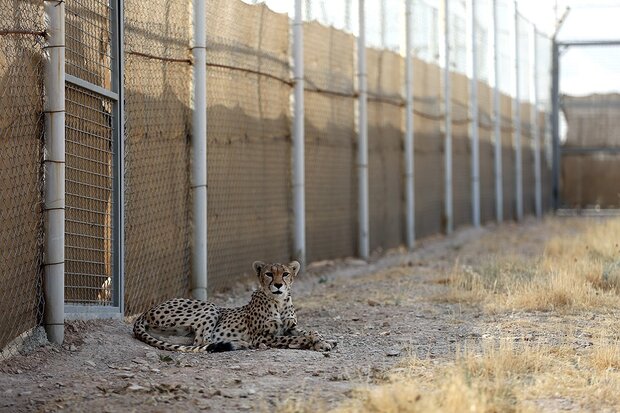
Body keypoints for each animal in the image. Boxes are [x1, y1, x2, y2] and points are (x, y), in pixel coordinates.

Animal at [133, 260, 336, 350]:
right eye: (269, 274)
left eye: (285, 274)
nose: (278, 285)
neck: (278, 302)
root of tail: (144, 312)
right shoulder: (261, 337)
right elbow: (290, 338)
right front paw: (312, 343)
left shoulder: (290, 327)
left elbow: (311, 331)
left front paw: (325, 340)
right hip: (211, 307)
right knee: (202, 341)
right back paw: (238, 343)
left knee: (190, 341)